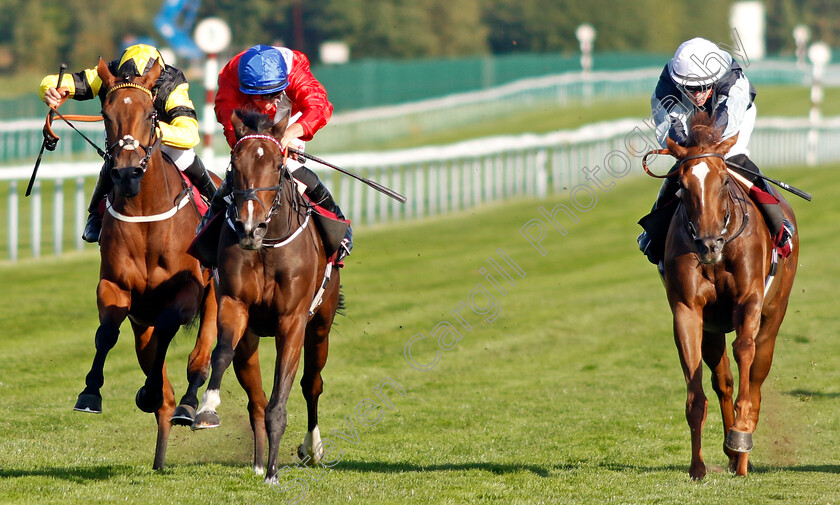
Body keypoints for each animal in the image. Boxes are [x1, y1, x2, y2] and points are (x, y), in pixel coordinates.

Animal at [72, 58, 218, 468]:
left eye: (151, 113)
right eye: (106, 115)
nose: (125, 173)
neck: (147, 216)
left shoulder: (188, 291)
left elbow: (171, 327)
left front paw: (154, 393)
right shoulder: (115, 287)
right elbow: (106, 333)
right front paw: (90, 393)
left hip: (216, 298)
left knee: (201, 358)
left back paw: (189, 406)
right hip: (141, 324)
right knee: (161, 388)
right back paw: (160, 453)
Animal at [192, 109, 342, 480]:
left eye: (277, 164)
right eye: (235, 161)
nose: (249, 227)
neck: (267, 245)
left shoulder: (293, 320)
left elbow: (282, 397)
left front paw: (275, 472)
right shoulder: (234, 304)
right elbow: (221, 354)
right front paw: (207, 408)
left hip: (321, 325)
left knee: (312, 383)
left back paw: (311, 448)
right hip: (250, 339)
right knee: (255, 399)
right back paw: (259, 461)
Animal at [652, 112, 796, 478]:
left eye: (722, 181)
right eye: (683, 185)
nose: (708, 245)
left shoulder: (749, 300)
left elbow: (744, 351)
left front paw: (741, 434)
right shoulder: (688, 310)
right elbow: (696, 392)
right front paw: (697, 467)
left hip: (774, 314)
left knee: (756, 373)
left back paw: (741, 448)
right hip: (713, 330)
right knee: (725, 381)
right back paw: (731, 455)